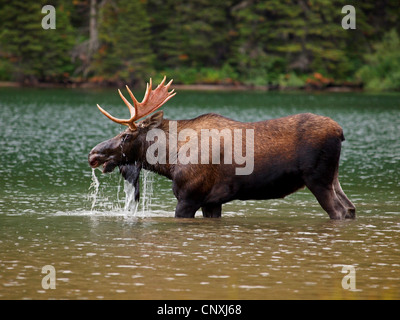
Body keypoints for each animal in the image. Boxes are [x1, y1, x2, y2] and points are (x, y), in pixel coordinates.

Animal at [89, 77, 354, 220]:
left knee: (339, 211)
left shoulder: (189, 196)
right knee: (350, 209)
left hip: (317, 178)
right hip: (334, 177)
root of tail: (340, 132)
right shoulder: (212, 201)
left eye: (125, 135)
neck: (169, 160)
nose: (94, 153)